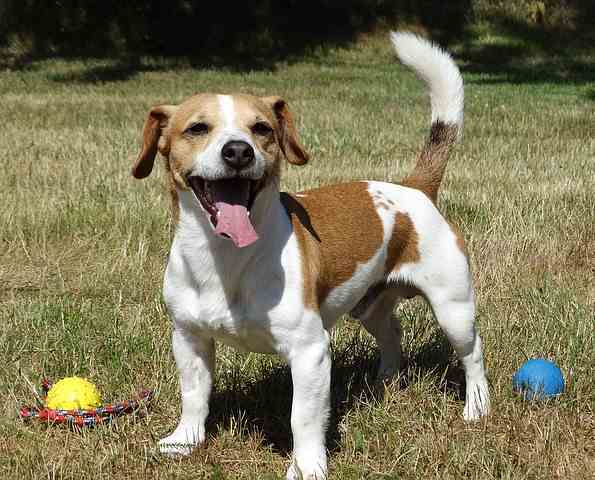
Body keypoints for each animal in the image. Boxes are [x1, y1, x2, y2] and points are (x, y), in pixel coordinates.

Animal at [133, 32, 492, 480]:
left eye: (262, 129)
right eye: (197, 128)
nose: (238, 151)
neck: (225, 258)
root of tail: (415, 188)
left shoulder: (310, 352)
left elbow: (302, 418)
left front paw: (306, 467)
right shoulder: (188, 338)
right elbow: (194, 394)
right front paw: (185, 440)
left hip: (453, 308)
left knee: (472, 355)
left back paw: (477, 408)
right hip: (369, 307)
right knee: (392, 335)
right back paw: (384, 383)